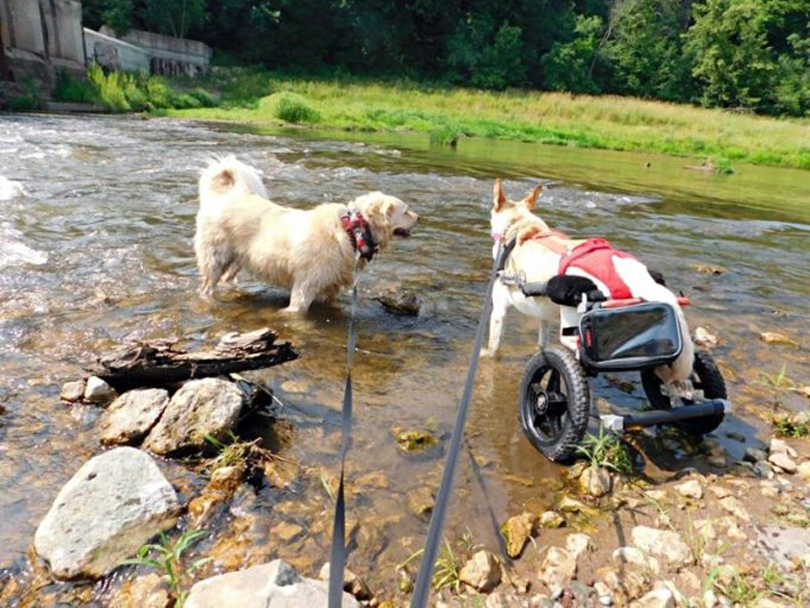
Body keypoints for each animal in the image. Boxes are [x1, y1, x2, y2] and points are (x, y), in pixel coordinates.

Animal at [191, 154, 416, 312]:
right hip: (216, 259)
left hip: (238, 260)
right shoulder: (305, 287)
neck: (352, 231)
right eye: (406, 211)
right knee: (207, 287)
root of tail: (226, 195)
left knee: (227, 279)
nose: (419, 217)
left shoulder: (330, 288)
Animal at [482, 178, 692, 384]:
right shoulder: (543, 315)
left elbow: (494, 348)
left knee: (574, 351)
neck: (519, 226)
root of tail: (633, 276)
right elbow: (542, 344)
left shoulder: (499, 311)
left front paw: (485, 356)